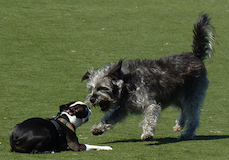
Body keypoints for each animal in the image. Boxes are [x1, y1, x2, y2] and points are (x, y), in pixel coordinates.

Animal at [82, 13, 216, 140]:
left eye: (102, 88)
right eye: (91, 89)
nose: (92, 99)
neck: (128, 84)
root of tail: (195, 55)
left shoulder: (151, 104)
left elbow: (149, 119)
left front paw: (147, 133)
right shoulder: (122, 109)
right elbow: (109, 118)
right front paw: (98, 129)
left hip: (191, 97)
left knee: (193, 118)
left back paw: (187, 134)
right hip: (174, 96)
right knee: (183, 110)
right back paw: (180, 125)